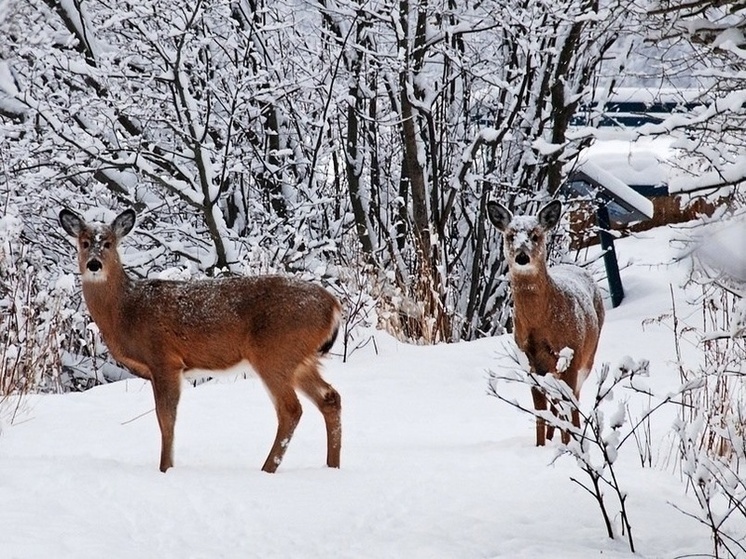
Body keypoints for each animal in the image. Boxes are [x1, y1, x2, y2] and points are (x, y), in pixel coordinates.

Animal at [58, 208, 342, 474]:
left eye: (108, 243)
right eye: (84, 242)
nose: (94, 264)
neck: (126, 310)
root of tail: (333, 306)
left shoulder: (164, 359)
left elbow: (166, 419)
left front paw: (165, 469)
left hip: (275, 353)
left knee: (291, 409)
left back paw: (267, 469)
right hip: (300, 359)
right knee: (330, 398)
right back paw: (332, 466)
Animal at [486, 200, 600, 446]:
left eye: (535, 235)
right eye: (510, 235)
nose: (521, 257)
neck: (540, 324)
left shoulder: (571, 353)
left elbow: (567, 406)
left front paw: (568, 446)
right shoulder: (528, 360)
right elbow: (540, 411)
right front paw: (540, 445)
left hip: (587, 357)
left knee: (573, 401)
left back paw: (575, 438)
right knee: (556, 403)